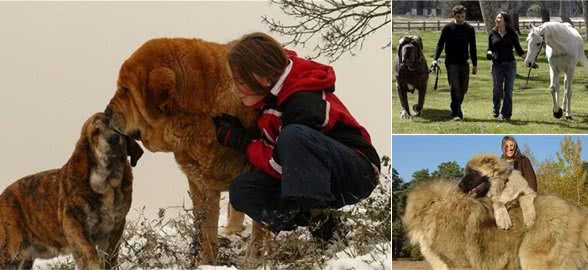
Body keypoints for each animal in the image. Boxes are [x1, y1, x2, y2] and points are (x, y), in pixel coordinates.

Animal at [0, 112, 142, 270]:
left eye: (116, 127)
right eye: (96, 132)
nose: (114, 138)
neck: (109, 185)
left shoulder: (115, 228)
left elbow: (110, 257)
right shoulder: (74, 225)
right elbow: (89, 254)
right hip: (9, 251)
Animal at [104, 37, 262, 264]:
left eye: (125, 90)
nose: (106, 112)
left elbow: (260, 227)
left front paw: (257, 257)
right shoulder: (200, 184)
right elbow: (204, 229)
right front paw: (205, 261)